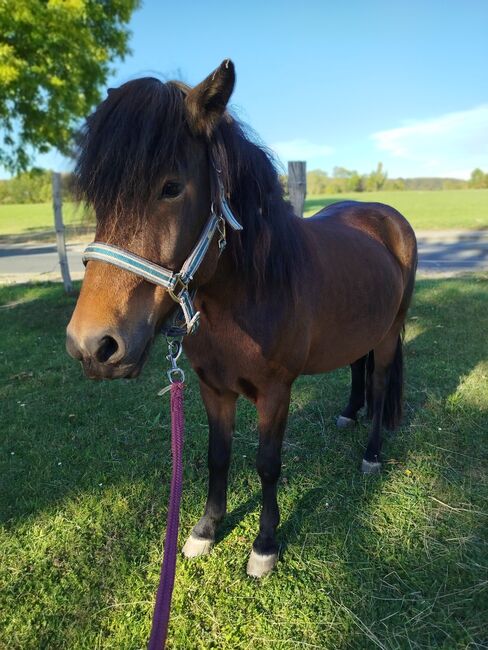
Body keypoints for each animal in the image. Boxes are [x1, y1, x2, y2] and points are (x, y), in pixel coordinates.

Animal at [66, 60, 417, 578]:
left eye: (171, 187)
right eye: (98, 196)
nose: (93, 346)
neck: (249, 292)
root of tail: (387, 217)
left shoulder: (275, 393)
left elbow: (267, 464)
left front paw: (265, 545)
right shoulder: (214, 388)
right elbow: (218, 456)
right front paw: (205, 531)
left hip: (390, 332)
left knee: (379, 382)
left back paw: (371, 454)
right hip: (359, 328)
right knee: (358, 367)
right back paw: (348, 414)